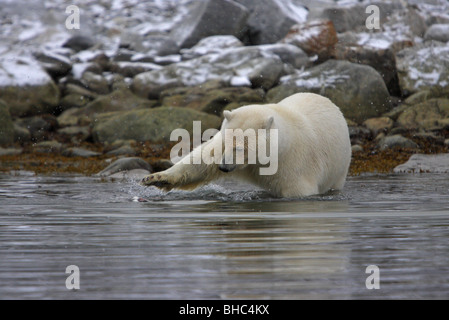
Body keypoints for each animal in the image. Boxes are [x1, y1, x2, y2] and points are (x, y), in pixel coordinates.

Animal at [142, 92, 352, 198]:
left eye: (240, 148)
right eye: (225, 144)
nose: (223, 167)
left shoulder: (296, 164)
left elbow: (298, 192)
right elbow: (200, 162)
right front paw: (155, 178)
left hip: (339, 170)